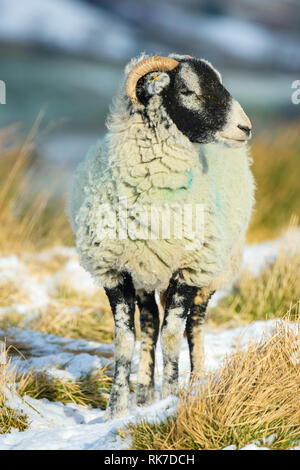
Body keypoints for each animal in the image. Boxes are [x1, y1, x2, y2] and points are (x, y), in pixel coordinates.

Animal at [68, 52, 255, 418]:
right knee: (151, 322)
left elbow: (172, 335)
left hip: (213, 271)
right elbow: (126, 340)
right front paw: (117, 409)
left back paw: (196, 382)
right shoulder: (115, 271)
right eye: (188, 91)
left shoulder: (189, 269)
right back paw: (143, 394)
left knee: (194, 325)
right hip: (146, 273)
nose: (246, 128)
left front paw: (171, 398)